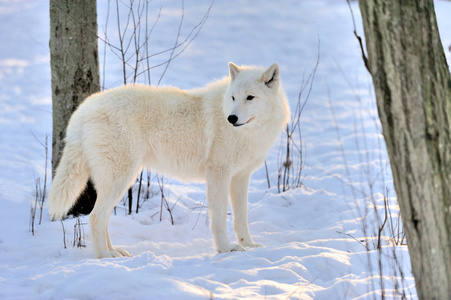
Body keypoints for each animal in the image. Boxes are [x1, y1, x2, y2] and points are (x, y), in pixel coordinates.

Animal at [48, 61, 290, 258]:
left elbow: (242, 216)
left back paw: (114, 251)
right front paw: (225, 249)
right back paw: (105, 256)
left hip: (117, 180)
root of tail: (84, 109)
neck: (248, 133)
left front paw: (248, 244)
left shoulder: (240, 177)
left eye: (250, 97)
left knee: (103, 218)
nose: (231, 118)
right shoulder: (218, 174)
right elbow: (220, 217)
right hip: (122, 177)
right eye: (233, 98)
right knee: (96, 217)